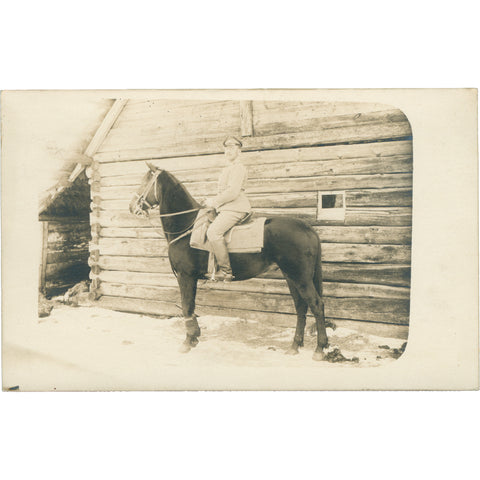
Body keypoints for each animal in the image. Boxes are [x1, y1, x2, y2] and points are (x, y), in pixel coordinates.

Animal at [129, 162, 328, 360]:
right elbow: (191, 306)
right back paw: (294, 346)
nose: (131, 207)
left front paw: (187, 342)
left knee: (316, 305)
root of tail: (307, 227)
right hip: (291, 276)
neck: (188, 226)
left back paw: (319, 349)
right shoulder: (190, 278)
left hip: (300, 278)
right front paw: (194, 338)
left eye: (145, 181)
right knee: (301, 307)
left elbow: (186, 307)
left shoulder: (186, 277)